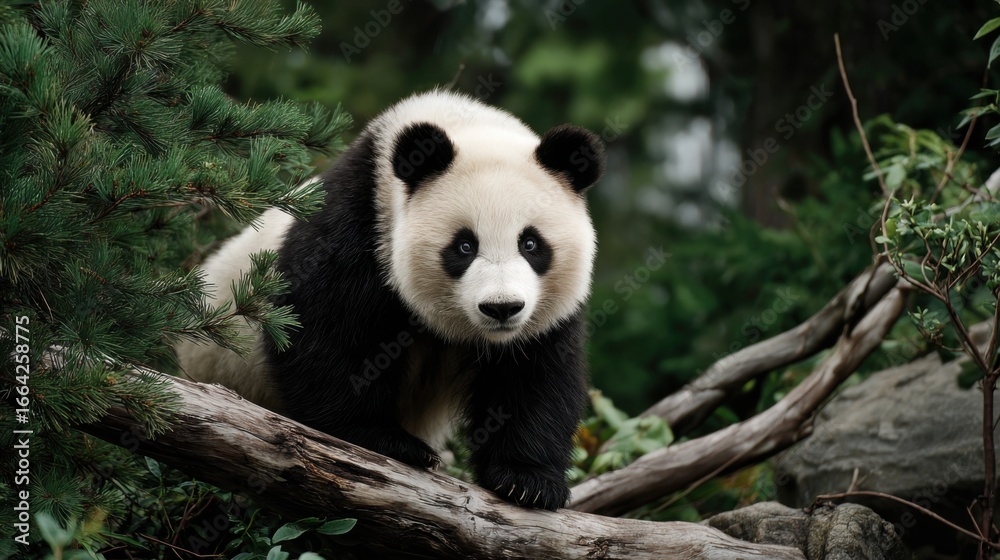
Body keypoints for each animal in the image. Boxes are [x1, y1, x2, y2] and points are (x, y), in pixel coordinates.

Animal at [176, 89, 605, 510]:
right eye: (464, 246)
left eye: (531, 244)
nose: (502, 308)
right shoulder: (357, 223)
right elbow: (324, 332)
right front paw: (385, 441)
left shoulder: (547, 314)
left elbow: (534, 374)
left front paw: (527, 481)